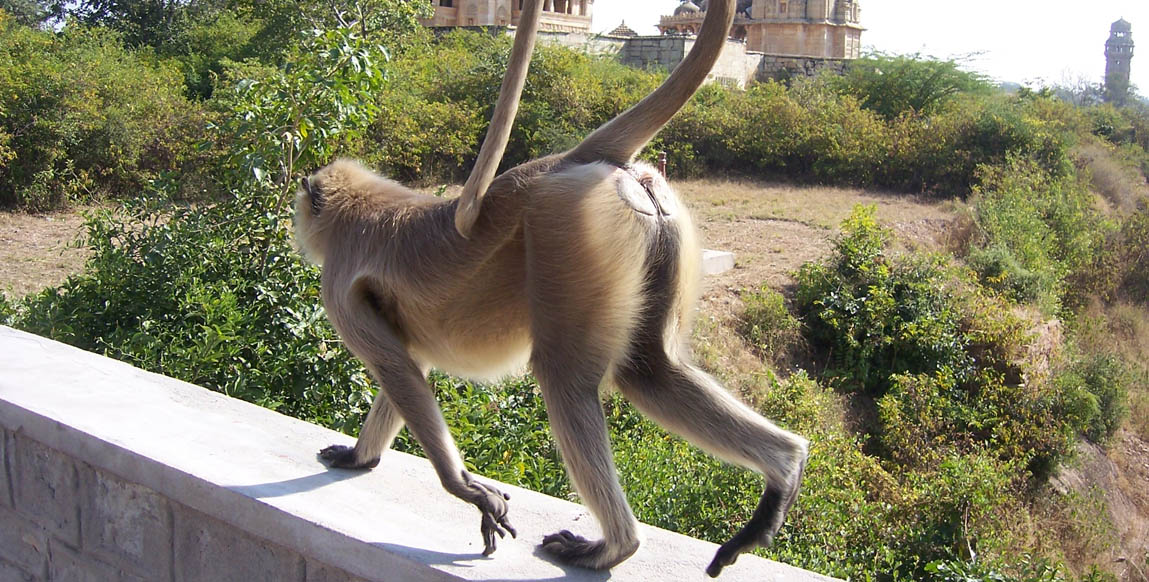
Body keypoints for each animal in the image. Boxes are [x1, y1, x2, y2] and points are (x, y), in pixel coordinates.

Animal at [296, 0, 808, 576]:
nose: (297, 221)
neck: (365, 207)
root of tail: (562, 162)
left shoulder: (337, 285)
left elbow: (395, 367)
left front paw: (464, 490)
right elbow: (409, 367)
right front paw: (364, 456)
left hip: (567, 230)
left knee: (564, 377)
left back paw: (614, 547)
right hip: (649, 227)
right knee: (649, 370)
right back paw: (782, 473)